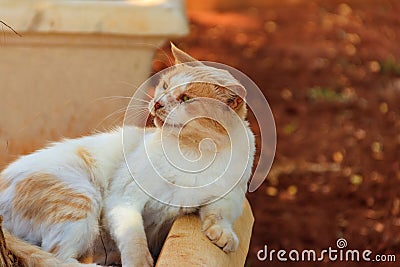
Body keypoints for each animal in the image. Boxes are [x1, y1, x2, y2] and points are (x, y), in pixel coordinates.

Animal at [0, 43, 255, 266]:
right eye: (164, 86)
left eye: (186, 99)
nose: (157, 103)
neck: (194, 153)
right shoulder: (124, 200)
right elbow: (134, 237)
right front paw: (140, 261)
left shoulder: (232, 197)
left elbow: (220, 213)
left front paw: (223, 235)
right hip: (81, 196)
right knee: (58, 257)